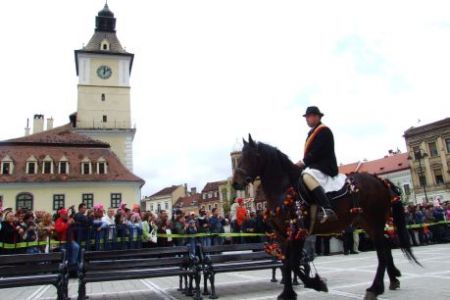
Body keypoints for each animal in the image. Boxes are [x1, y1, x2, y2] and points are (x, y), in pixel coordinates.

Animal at [234, 135, 420, 300]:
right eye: (239, 157)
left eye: (250, 156)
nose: (236, 182)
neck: (285, 190)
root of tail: (380, 181)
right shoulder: (282, 235)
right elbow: (287, 264)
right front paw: (287, 294)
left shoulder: (297, 232)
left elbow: (293, 263)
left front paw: (316, 283)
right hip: (369, 224)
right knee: (386, 248)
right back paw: (393, 278)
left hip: (375, 221)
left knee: (382, 253)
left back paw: (375, 288)